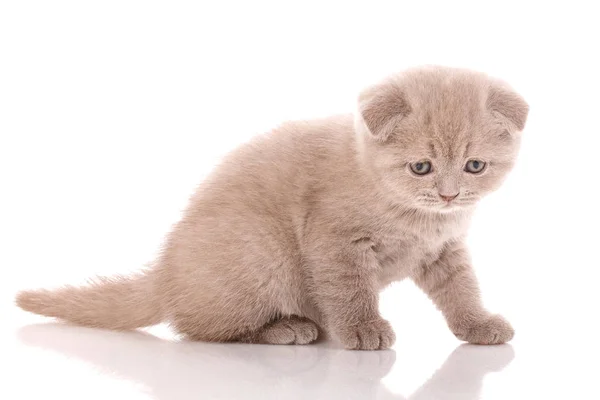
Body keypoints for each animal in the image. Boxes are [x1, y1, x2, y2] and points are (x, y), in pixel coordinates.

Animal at [16, 66, 528, 350]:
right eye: (421, 166)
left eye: (475, 166)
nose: (449, 194)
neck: (417, 216)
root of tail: (166, 274)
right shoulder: (336, 244)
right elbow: (351, 291)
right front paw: (364, 329)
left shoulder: (444, 250)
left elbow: (461, 289)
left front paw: (478, 324)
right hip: (264, 249)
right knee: (202, 328)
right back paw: (288, 329)